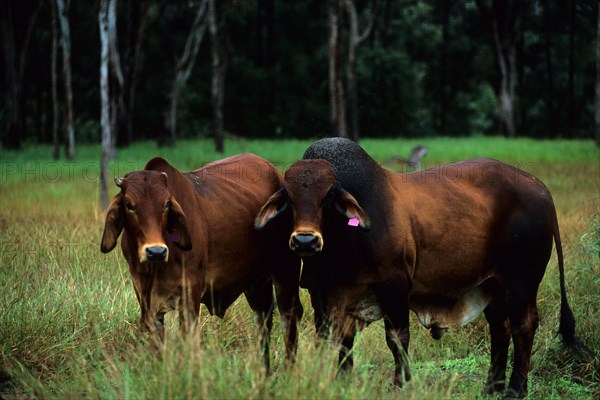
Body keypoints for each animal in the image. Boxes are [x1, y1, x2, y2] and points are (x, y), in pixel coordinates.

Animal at [101, 152, 304, 368]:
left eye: (166, 205)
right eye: (129, 205)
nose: (155, 251)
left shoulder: (191, 295)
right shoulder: (146, 301)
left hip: (285, 271)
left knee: (289, 317)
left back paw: (288, 369)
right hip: (256, 283)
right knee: (263, 320)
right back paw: (264, 370)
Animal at [254, 137, 584, 396]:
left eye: (328, 196)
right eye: (289, 197)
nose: (305, 241)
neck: (343, 243)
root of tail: (539, 187)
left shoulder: (395, 286)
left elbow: (397, 340)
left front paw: (401, 385)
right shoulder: (322, 294)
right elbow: (339, 342)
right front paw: (342, 383)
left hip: (521, 282)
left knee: (523, 326)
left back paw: (515, 389)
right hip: (492, 285)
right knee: (500, 329)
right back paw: (491, 387)